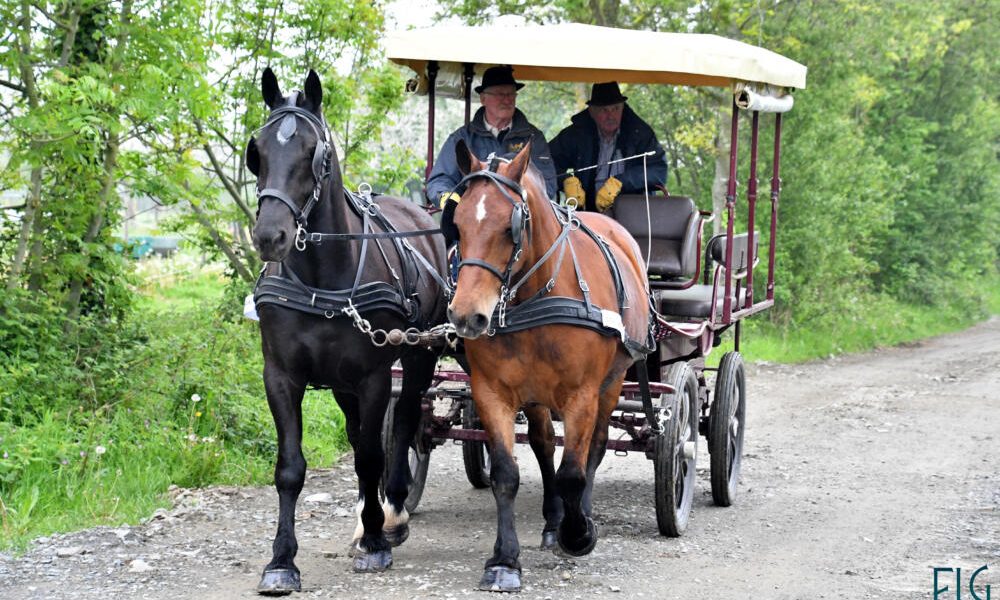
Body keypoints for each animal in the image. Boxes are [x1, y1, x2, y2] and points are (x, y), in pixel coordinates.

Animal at [244, 68, 448, 592]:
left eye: (314, 153)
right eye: (258, 151)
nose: (270, 236)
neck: (322, 276)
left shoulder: (374, 375)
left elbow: (373, 455)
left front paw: (377, 541)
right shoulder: (281, 376)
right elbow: (291, 468)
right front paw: (281, 560)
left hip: (418, 354)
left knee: (404, 423)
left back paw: (391, 511)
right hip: (340, 382)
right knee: (360, 435)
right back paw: (365, 514)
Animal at [444, 139, 648, 592]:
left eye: (510, 228)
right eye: (458, 225)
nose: (467, 316)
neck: (537, 297)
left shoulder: (582, 395)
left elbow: (574, 470)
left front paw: (579, 533)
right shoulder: (492, 392)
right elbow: (506, 472)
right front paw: (504, 559)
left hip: (613, 382)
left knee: (596, 447)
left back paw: (577, 517)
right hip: (536, 396)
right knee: (542, 443)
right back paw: (554, 520)